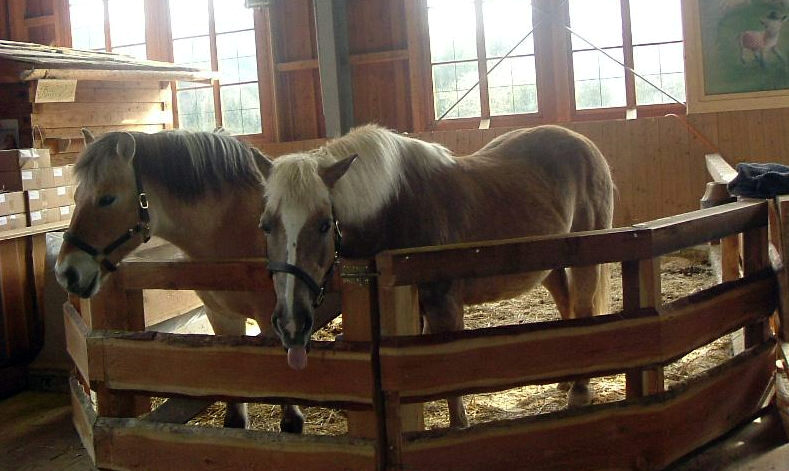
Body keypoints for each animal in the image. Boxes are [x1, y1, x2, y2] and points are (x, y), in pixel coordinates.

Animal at [54, 129, 338, 436]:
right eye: (75, 196)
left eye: (107, 199)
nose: (65, 272)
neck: (235, 227)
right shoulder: (222, 319)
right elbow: (235, 419)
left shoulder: (275, 325)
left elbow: (290, 421)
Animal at [255, 124, 612, 428]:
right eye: (266, 225)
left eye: (324, 225)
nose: (291, 324)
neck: (396, 205)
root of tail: (587, 145)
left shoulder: (444, 303)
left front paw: (458, 425)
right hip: (549, 263)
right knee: (566, 304)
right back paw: (566, 378)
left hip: (586, 258)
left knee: (583, 308)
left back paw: (579, 391)